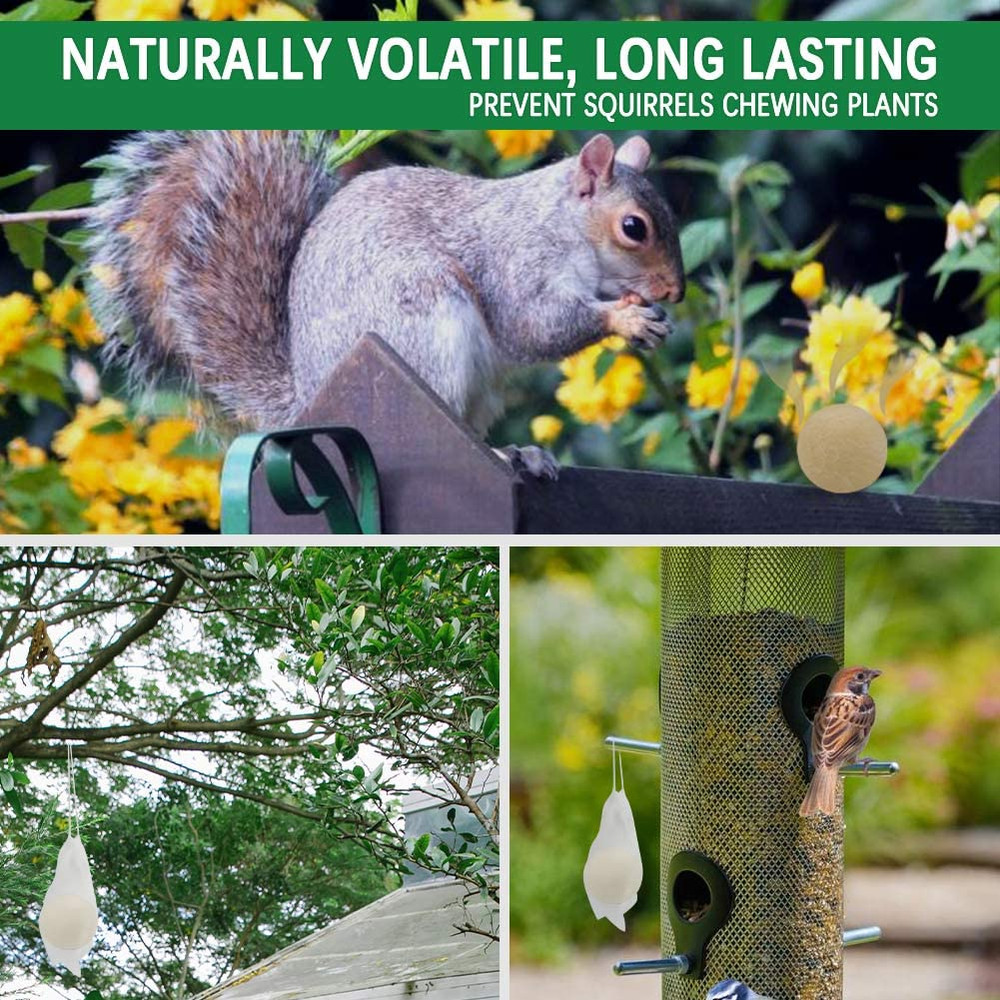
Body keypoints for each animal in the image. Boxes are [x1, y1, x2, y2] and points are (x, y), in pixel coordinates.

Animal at [85, 131, 685, 477]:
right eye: (634, 227)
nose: (675, 292)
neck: (560, 225)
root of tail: (307, 391)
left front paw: (652, 317)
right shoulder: (514, 265)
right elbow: (534, 326)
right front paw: (624, 316)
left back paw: (517, 453)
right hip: (423, 324)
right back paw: (498, 456)